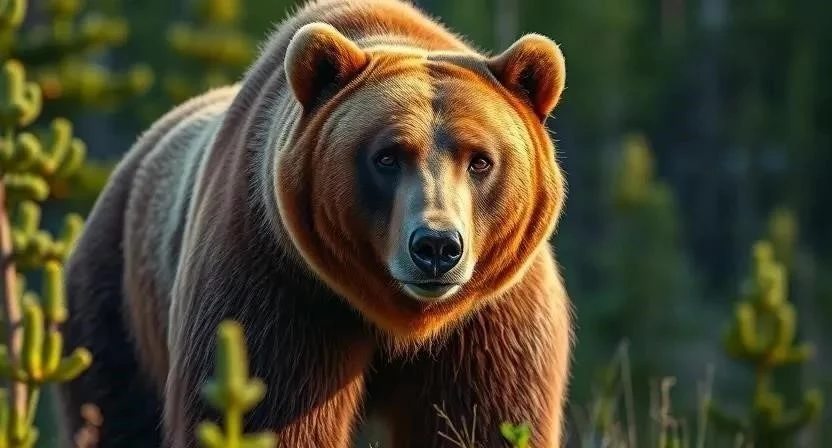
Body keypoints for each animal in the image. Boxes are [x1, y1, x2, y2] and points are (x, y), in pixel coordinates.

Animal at [55, 0, 573, 447]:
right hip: (116, 310)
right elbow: (271, 413)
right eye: (387, 156)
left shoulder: (492, 322)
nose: (436, 246)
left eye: (480, 160)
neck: (400, 320)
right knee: (117, 411)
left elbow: (484, 419)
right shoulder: (280, 288)